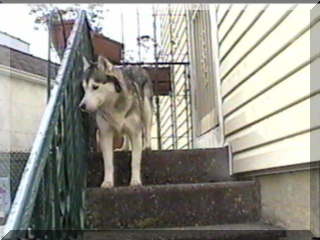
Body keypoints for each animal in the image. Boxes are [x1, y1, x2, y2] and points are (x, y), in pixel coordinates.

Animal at [79, 55, 153, 188]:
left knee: (147, 128)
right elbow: (108, 163)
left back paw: (147, 146)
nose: (81, 106)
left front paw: (135, 181)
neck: (113, 105)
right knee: (126, 136)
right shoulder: (105, 134)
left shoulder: (136, 134)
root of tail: (135, 66)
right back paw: (124, 148)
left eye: (95, 87)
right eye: (84, 88)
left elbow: (135, 161)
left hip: (146, 109)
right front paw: (107, 182)